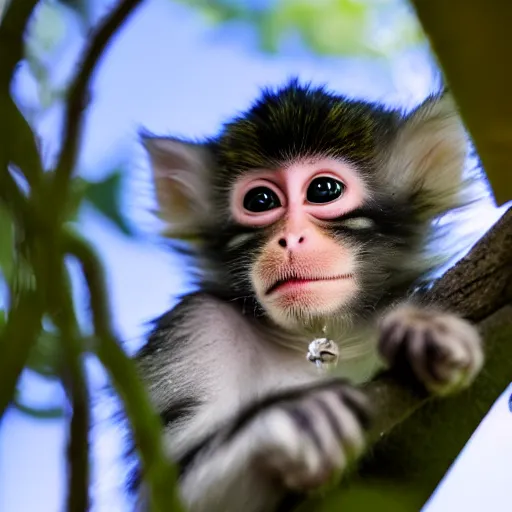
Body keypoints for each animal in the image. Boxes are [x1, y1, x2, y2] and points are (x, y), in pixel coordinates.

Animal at [133, 80, 484, 512]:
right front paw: (297, 420)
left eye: (323, 190)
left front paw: (421, 328)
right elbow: (168, 493)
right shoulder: (195, 326)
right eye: (260, 201)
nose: (291, 238)